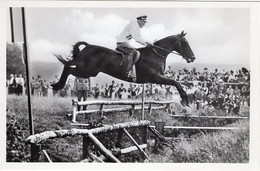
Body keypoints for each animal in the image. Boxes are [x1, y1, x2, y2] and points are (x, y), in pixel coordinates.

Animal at [51, 30, 195, 105]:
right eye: (185, 43)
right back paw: (57, 85)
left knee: (67, 65)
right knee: (68, 68)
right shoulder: (156, 77)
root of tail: (88, 46)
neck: (155, 54)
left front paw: (185, 98)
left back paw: (56, 85)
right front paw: (185, 100)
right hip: (86, 71)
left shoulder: (157, 78)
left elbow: (176, 82)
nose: (193, 58)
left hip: (86, 70)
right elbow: (175, 82)